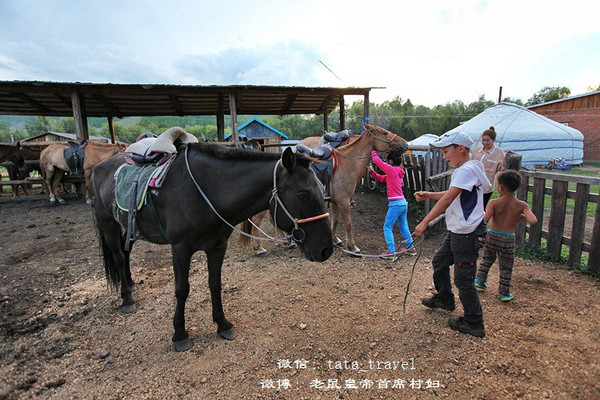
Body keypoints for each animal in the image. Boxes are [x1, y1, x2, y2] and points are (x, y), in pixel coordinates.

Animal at [326, 123, 410, 252]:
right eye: (384, 133)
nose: (406, 144)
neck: (346, 163)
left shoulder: (336, 201)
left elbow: (335, 220)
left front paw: (335, 240)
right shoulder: (343, 201)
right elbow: (348, 223)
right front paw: (352, 247)